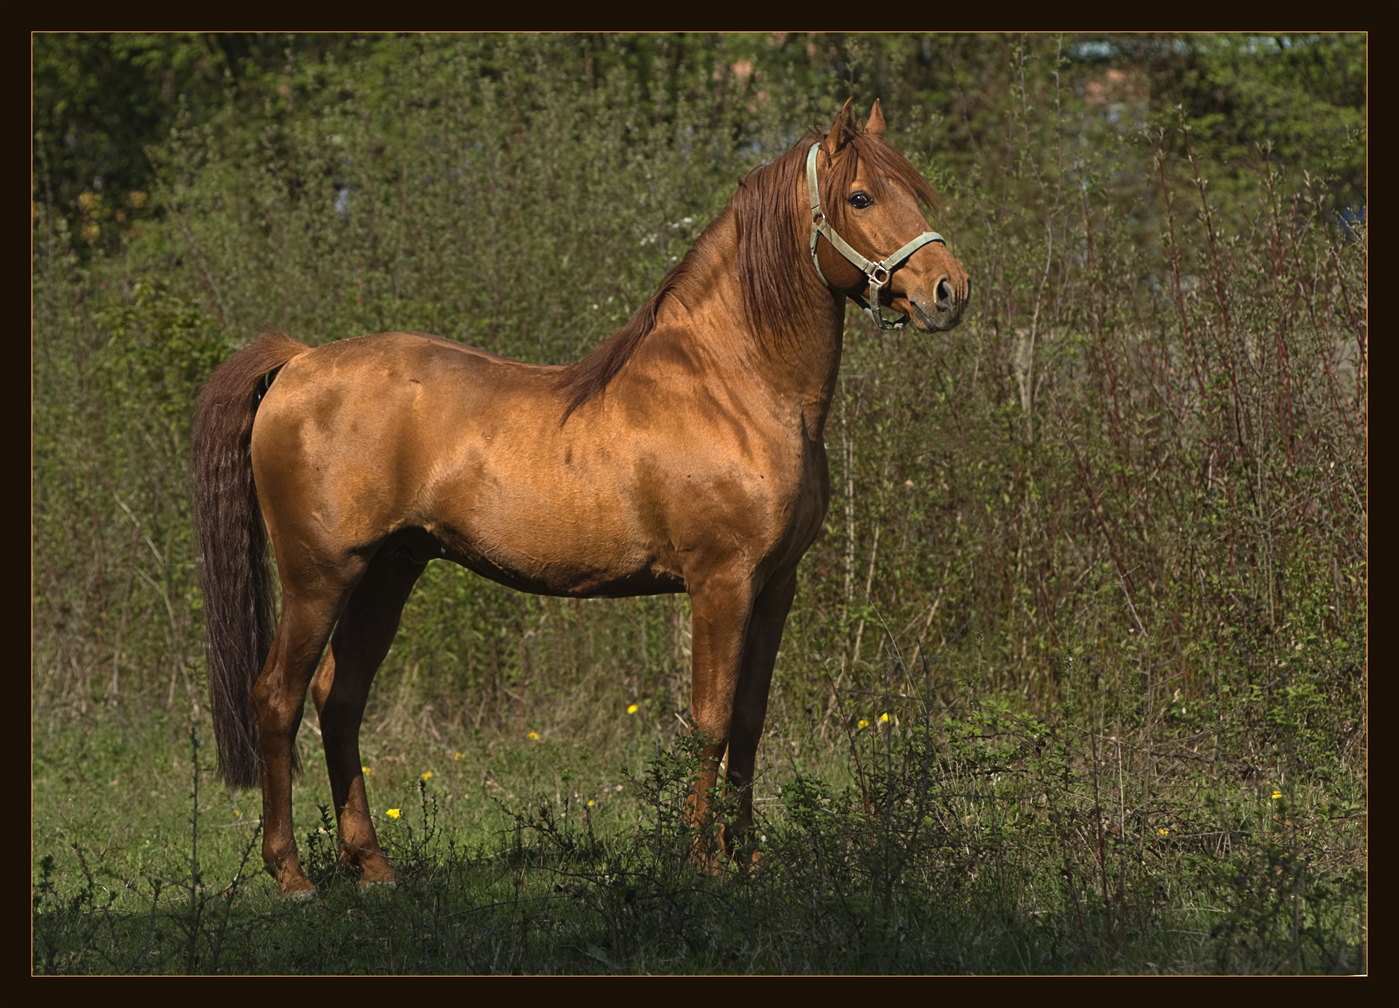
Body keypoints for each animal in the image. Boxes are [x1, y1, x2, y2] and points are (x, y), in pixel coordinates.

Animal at [194, 99, 962, 889]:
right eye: (860, 197)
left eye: (914, 190)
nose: (947, 290)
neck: (732, 386)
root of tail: (299, 362)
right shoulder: (721, 582)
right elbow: (709, 721)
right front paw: (702, 863)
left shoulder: (776, 584)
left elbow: (748, 720)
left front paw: (746, 857)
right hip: (319, 576)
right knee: (278, 698)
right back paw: (291, 874)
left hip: (387, 571)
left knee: (340, 700)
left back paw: (373, 865)